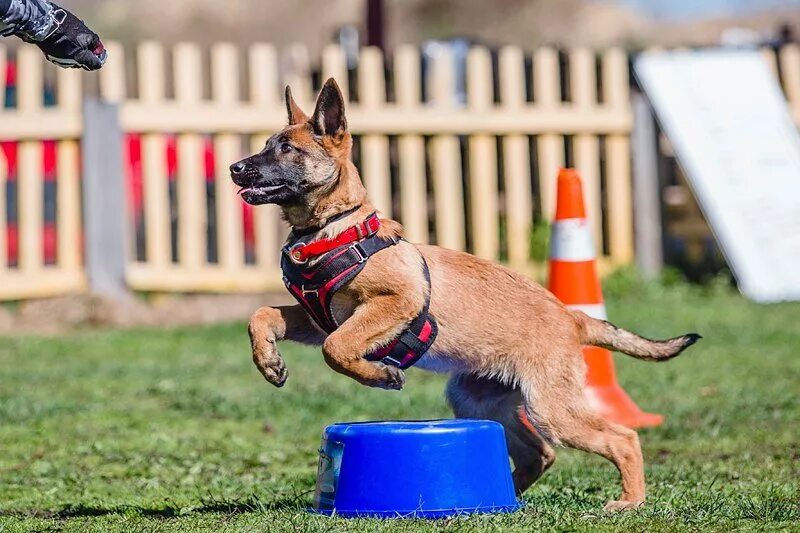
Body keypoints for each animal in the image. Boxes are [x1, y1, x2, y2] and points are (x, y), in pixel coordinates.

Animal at [228, 79, 696, 512]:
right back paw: (501, 498)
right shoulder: (318, 315)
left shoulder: (393, 302)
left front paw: (380, 376)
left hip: (550, 408)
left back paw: (629, 500)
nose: (235, 168)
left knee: (622, 438)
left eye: (286, 148)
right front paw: (269, 362)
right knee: (540, 454)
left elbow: (336, 348)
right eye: (267, 145)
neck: (333, 229)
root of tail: (572, 317)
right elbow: (262, 313)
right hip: (480, 401)